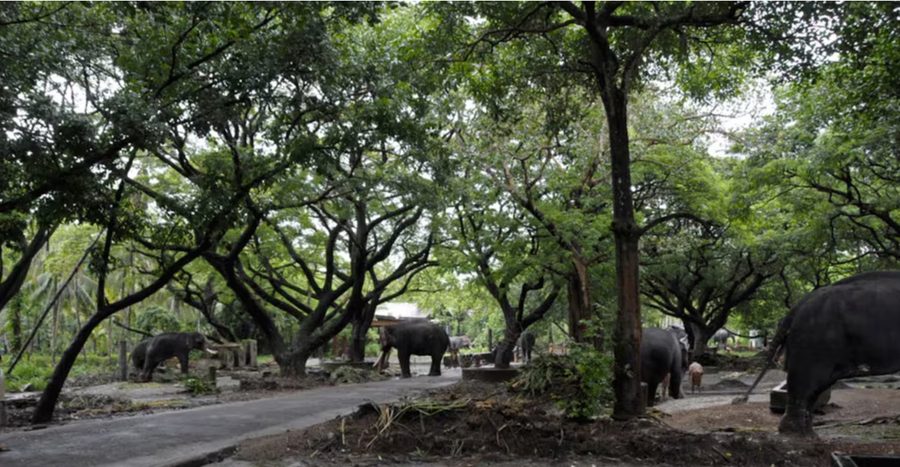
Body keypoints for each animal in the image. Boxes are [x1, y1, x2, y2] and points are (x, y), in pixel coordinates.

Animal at [735, 271, 900, 435]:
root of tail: (796, 308)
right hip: (814, 341)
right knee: (805, 382)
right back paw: (798, 435)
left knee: (816, 387)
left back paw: (807, 434)